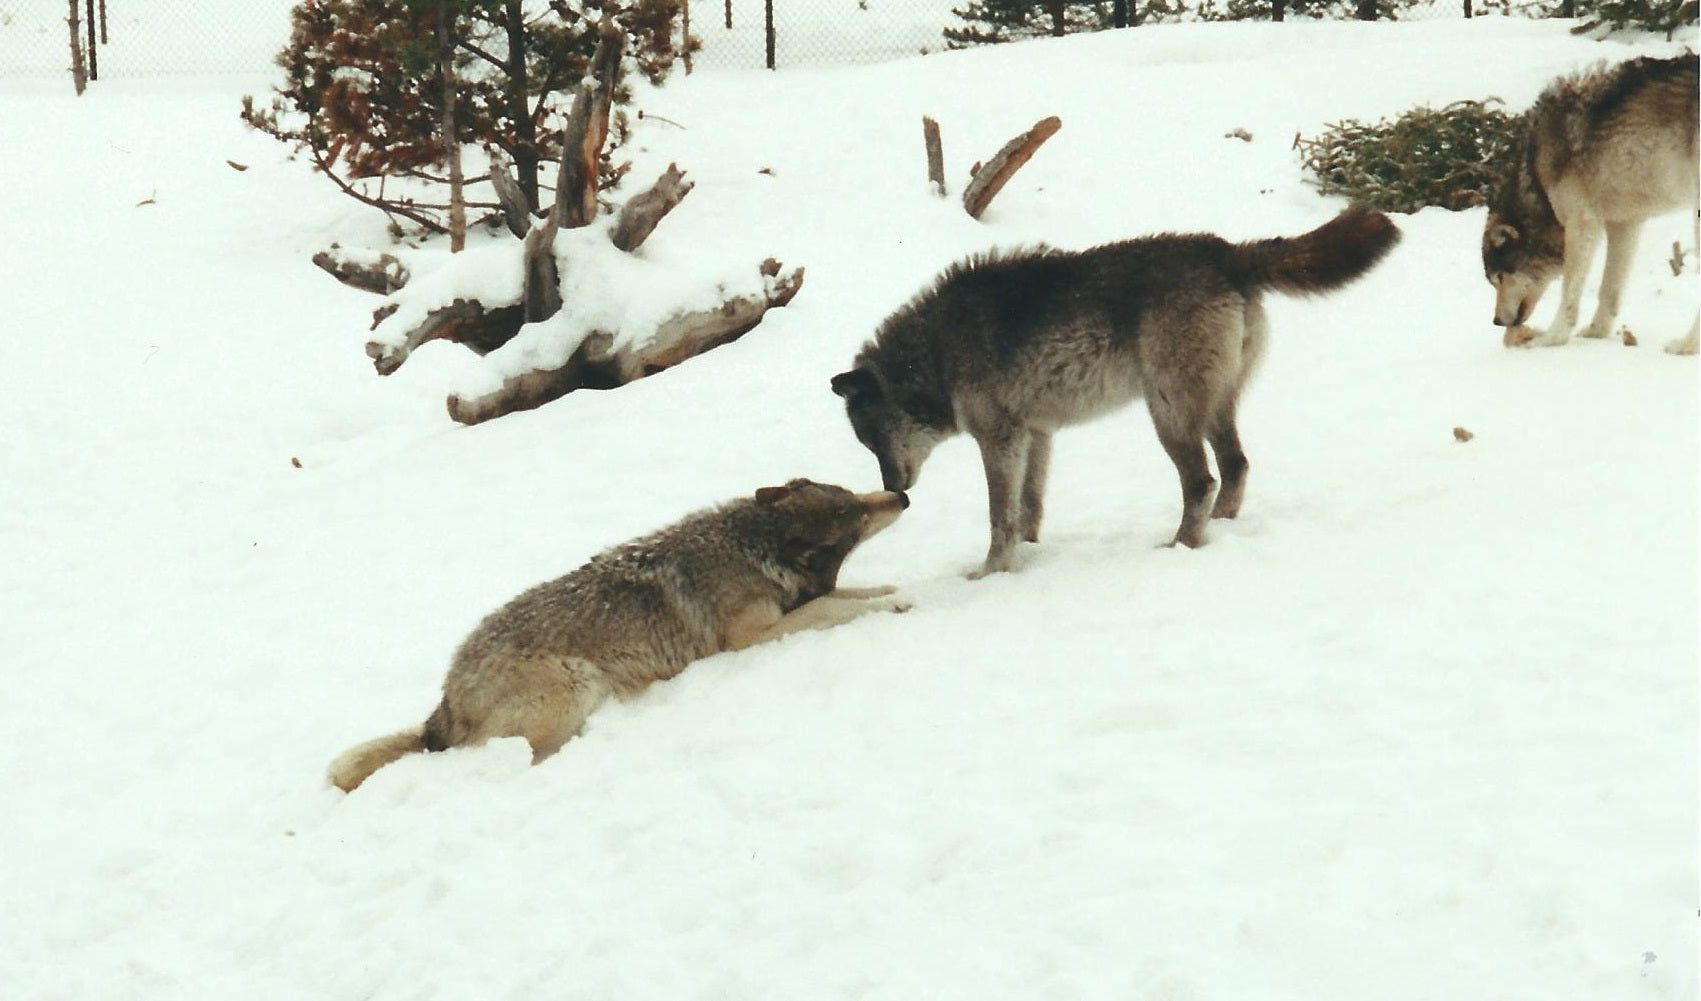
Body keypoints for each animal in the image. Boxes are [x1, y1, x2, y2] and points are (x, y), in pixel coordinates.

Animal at [321, 480, 904, 793]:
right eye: (854, 515)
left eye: (852, 496)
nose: (899, 494)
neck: (751, 548)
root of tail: (444, 702)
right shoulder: (753, 636)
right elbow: (834, 606)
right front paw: (896, 602)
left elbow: (848, 594)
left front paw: (893, 589)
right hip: (573, 683)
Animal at [830, 206, 1401, 575]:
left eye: (872, 440)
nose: (897, 491)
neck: (936, 351)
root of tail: (1226, 252)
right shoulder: (1037, 434)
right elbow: (1029, 508)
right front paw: (1028, 558)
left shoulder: (1000, 439)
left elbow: (999, 516)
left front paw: (989, 574)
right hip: (1211, 408)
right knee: (1236, 465)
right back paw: (1218, 530)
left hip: (1167, 413)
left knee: (1202, 480)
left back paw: (1180, 547)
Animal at [1483, 52, 1694, 355]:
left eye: (1499, 277)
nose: (1497, 321)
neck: (1536, 175)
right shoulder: (1625, 224)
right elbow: (1609, 292)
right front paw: (1596, 334)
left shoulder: (1581, 223)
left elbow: (1569, 296)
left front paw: (1551, 339)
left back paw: (1685, 346)